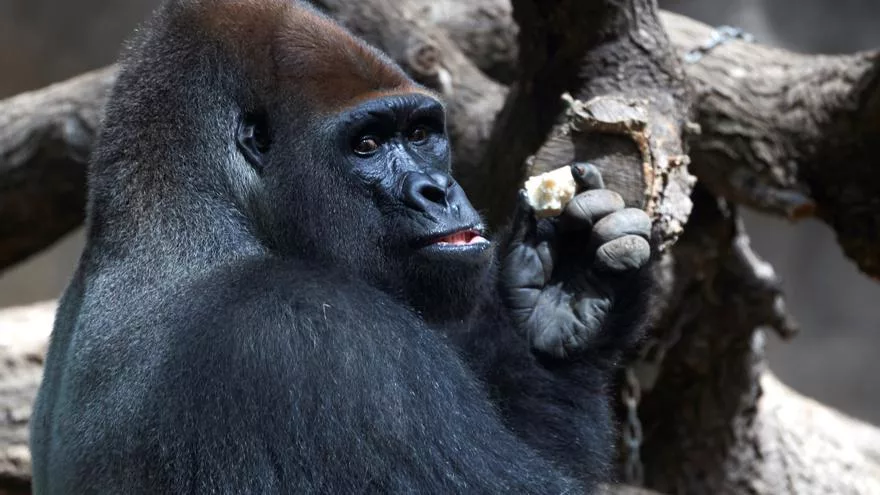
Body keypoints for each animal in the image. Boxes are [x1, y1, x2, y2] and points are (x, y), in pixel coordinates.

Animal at [29, 0, 652, 492]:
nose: (437, 190)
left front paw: (561, 303)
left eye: (420, 134)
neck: (183, 213)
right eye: (367, 144)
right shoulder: (323, 334)